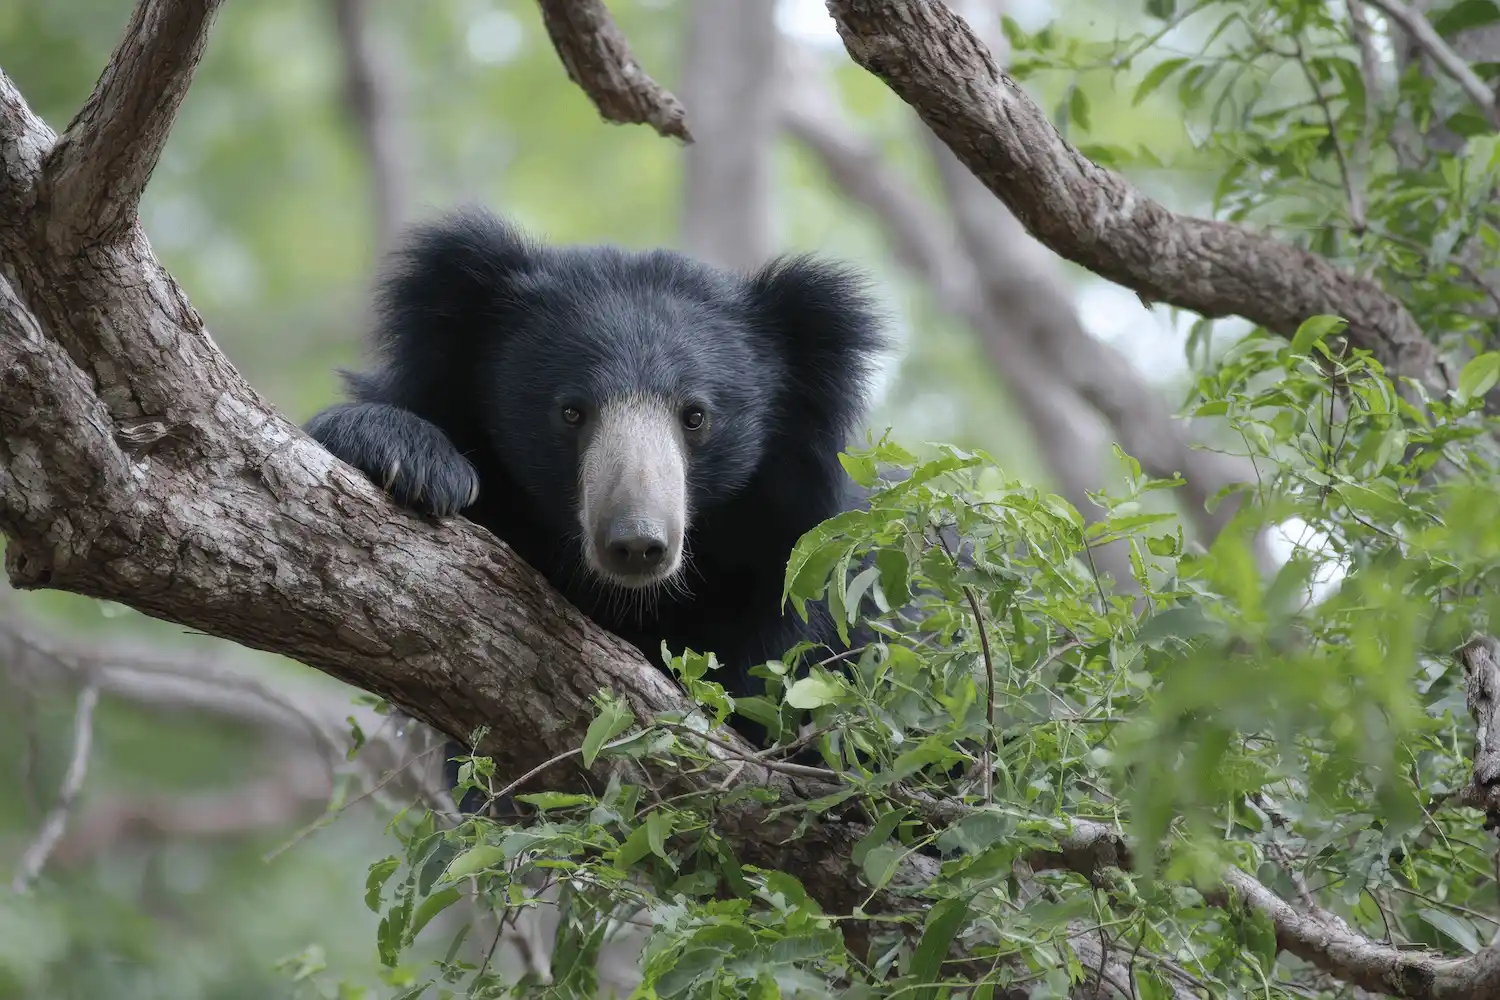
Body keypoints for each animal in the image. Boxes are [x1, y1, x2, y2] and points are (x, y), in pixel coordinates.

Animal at [305, 208, 891, 798]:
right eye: (571, 412)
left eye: (696, 416)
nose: (636, 544)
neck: (632, 599)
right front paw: (415, 463)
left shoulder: (792, 570)